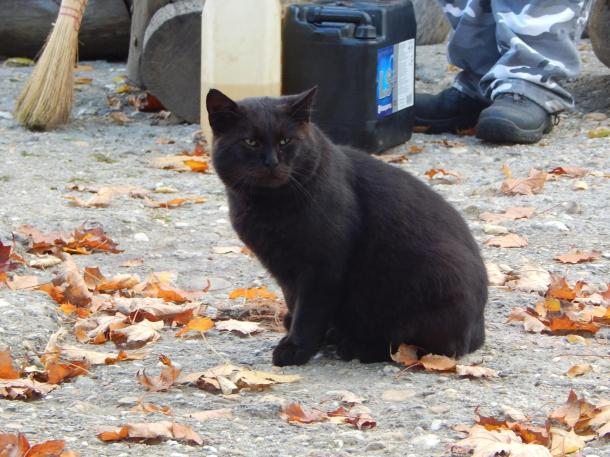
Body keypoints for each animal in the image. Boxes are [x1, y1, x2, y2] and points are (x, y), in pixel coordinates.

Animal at [207, 87, 486, 366]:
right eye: (250, 142)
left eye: (286, 141)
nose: (272, 162)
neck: (269, 206)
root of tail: (479, 330)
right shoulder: (285, 270)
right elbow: (294, 301)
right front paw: (306, 333)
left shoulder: (322, 267)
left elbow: (308, 311)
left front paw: (297, 347)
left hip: (436, 275)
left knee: (422, 348)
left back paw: (357, 346)